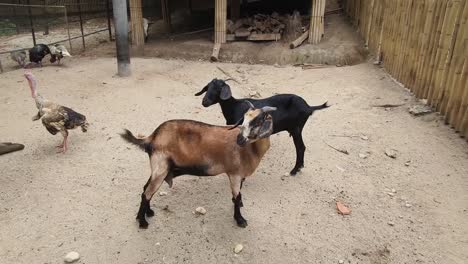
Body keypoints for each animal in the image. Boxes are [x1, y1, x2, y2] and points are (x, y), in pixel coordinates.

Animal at [120, 104, 276, 228]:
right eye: (243, 119)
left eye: (259, 120)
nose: (240, 139)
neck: (250, 150)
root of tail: (152, 137)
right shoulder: (234, 174)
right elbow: (237, 197)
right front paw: (240, 220)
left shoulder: (240, 175)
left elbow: (238, 195)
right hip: (160, 167)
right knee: (147, 193)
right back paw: (142, 222)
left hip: (159, 169)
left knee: (146, 188)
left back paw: (147, 213)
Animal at [194, 79, 330, 176]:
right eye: (207, 88)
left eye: (218, 90)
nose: (204, 102)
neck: (234, 106)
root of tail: (308, 107)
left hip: (296, 128)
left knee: (301, 147)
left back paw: (294, 170)